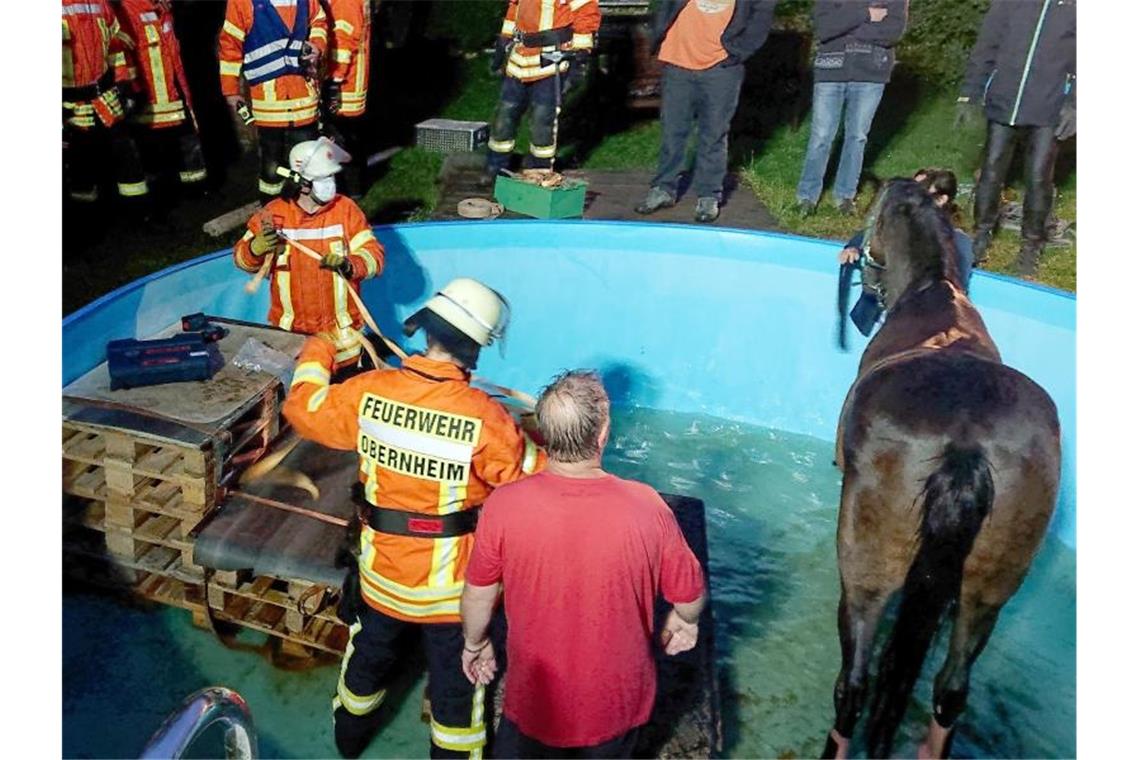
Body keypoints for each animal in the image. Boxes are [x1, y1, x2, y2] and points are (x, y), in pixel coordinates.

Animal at [820, 181, 1057, 756]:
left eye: (873, 219)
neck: (934, 295)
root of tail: (966, 444)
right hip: (988, 588)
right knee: (951, 688)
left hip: (867, 568)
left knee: (853, 688)